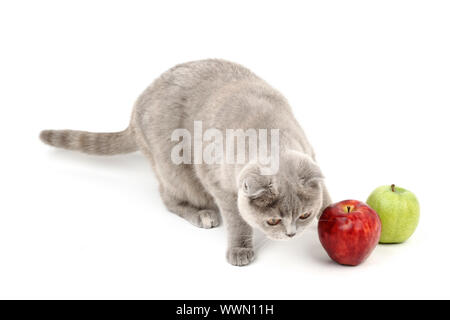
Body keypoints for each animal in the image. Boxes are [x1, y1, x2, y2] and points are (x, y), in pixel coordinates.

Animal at [40, 58, 332, 266]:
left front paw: (328, 214)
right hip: (176, 170)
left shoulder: (309, 154)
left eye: (304, 215)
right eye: (272, 221)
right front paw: (239, 249)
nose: (292, 234)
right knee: (168, 198)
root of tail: (135, 112)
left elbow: (326, 198)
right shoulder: (217, 182)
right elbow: (236, 218)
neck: (269, 136)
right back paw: (203, 215)